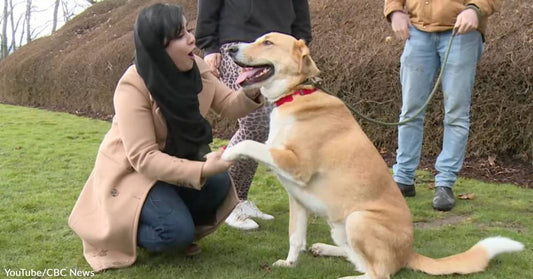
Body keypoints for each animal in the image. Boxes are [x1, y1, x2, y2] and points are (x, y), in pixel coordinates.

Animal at [219, 32, 520, 279]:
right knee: (357, 259)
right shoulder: (298, 199)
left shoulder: (296, 164)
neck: (298, 93)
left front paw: (227, 154)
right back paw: (325, 249)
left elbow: (249, 144)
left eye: (267, 42)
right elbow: (295, 238)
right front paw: (290, 264)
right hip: (340, 225)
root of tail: (408, 252)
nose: (230, 48)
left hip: (358, 219)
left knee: (379, 273)